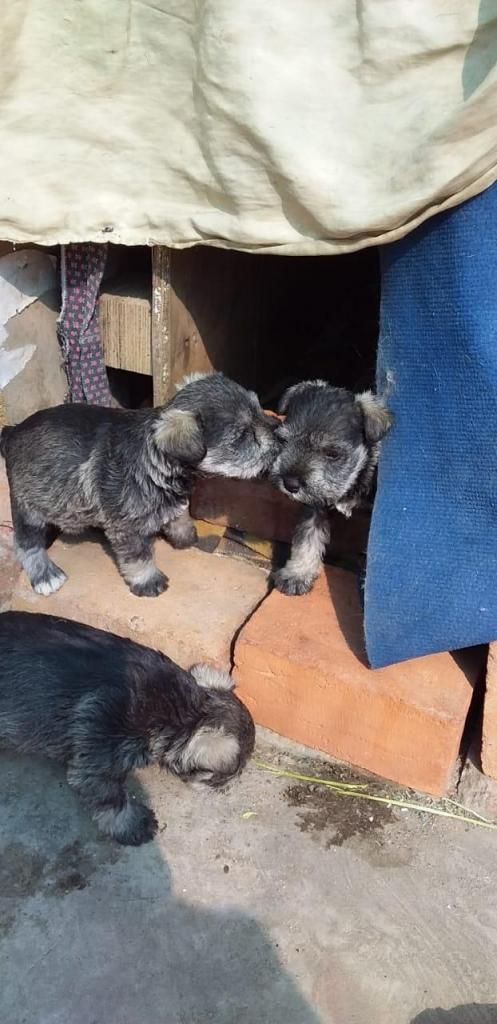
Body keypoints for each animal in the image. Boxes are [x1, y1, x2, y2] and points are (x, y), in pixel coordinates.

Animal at [0, 372, 274, 598]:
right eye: (244, 435)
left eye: (259, 409)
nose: (278, 436)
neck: (155, 459)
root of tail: (12, 432)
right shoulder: (127, 527)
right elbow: (139, 557)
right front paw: (148, 581)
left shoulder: (172, 498)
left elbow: (179, 514)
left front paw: (185, 537)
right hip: (27, 507)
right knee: (26, 544)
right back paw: (46, 576)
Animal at [0, 610, 256, 843]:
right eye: (224, 777)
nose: (225, 789)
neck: (180, 708)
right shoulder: (99, 760)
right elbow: (113, 801)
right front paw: (135, 825)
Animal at [268, 380, 389, 598]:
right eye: (284, 441)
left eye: (332, 454)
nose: (290, 484)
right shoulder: (314, 506)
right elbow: (307, 539)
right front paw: (297, 574)